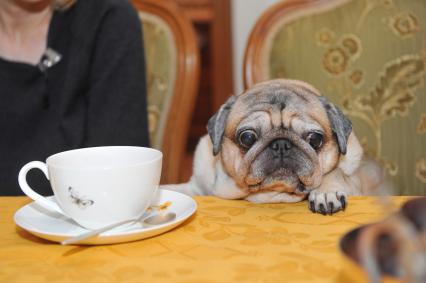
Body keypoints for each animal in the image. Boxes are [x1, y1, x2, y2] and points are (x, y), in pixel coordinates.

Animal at [164, 79, 390, 214]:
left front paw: (326, 192)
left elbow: (333, 173)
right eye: (247, 137)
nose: (281, 144)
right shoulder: (197, 186)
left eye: (315, 139)